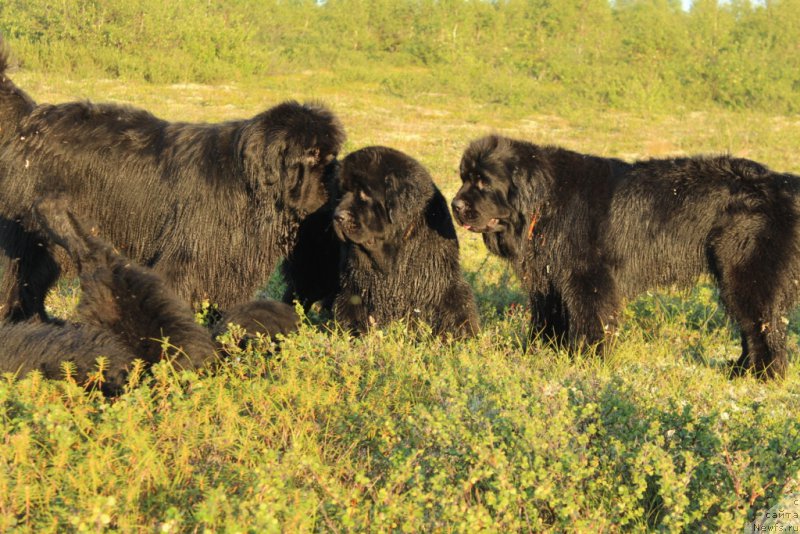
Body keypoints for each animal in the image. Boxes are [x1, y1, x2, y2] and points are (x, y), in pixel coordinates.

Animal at [0, 40, 344, 322]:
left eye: (331, 158)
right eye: (311, 157)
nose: (332, 188)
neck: (248, 182)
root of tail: (31, 118)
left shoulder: (231, 265)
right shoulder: (187, 255)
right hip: (29, 231)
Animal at [450, 137, 800, 382]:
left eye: (482, 182)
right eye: (464, 177)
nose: (455, 205)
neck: (544, 202)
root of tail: (783, 183)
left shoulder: (586, 277)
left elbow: (591, 321)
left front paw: (587, 360)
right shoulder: (547, 278)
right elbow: (548, 320)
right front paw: (543, 353)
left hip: (745, 272)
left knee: (763, 326)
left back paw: (762, 375)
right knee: (754, 327)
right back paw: (740, 369)